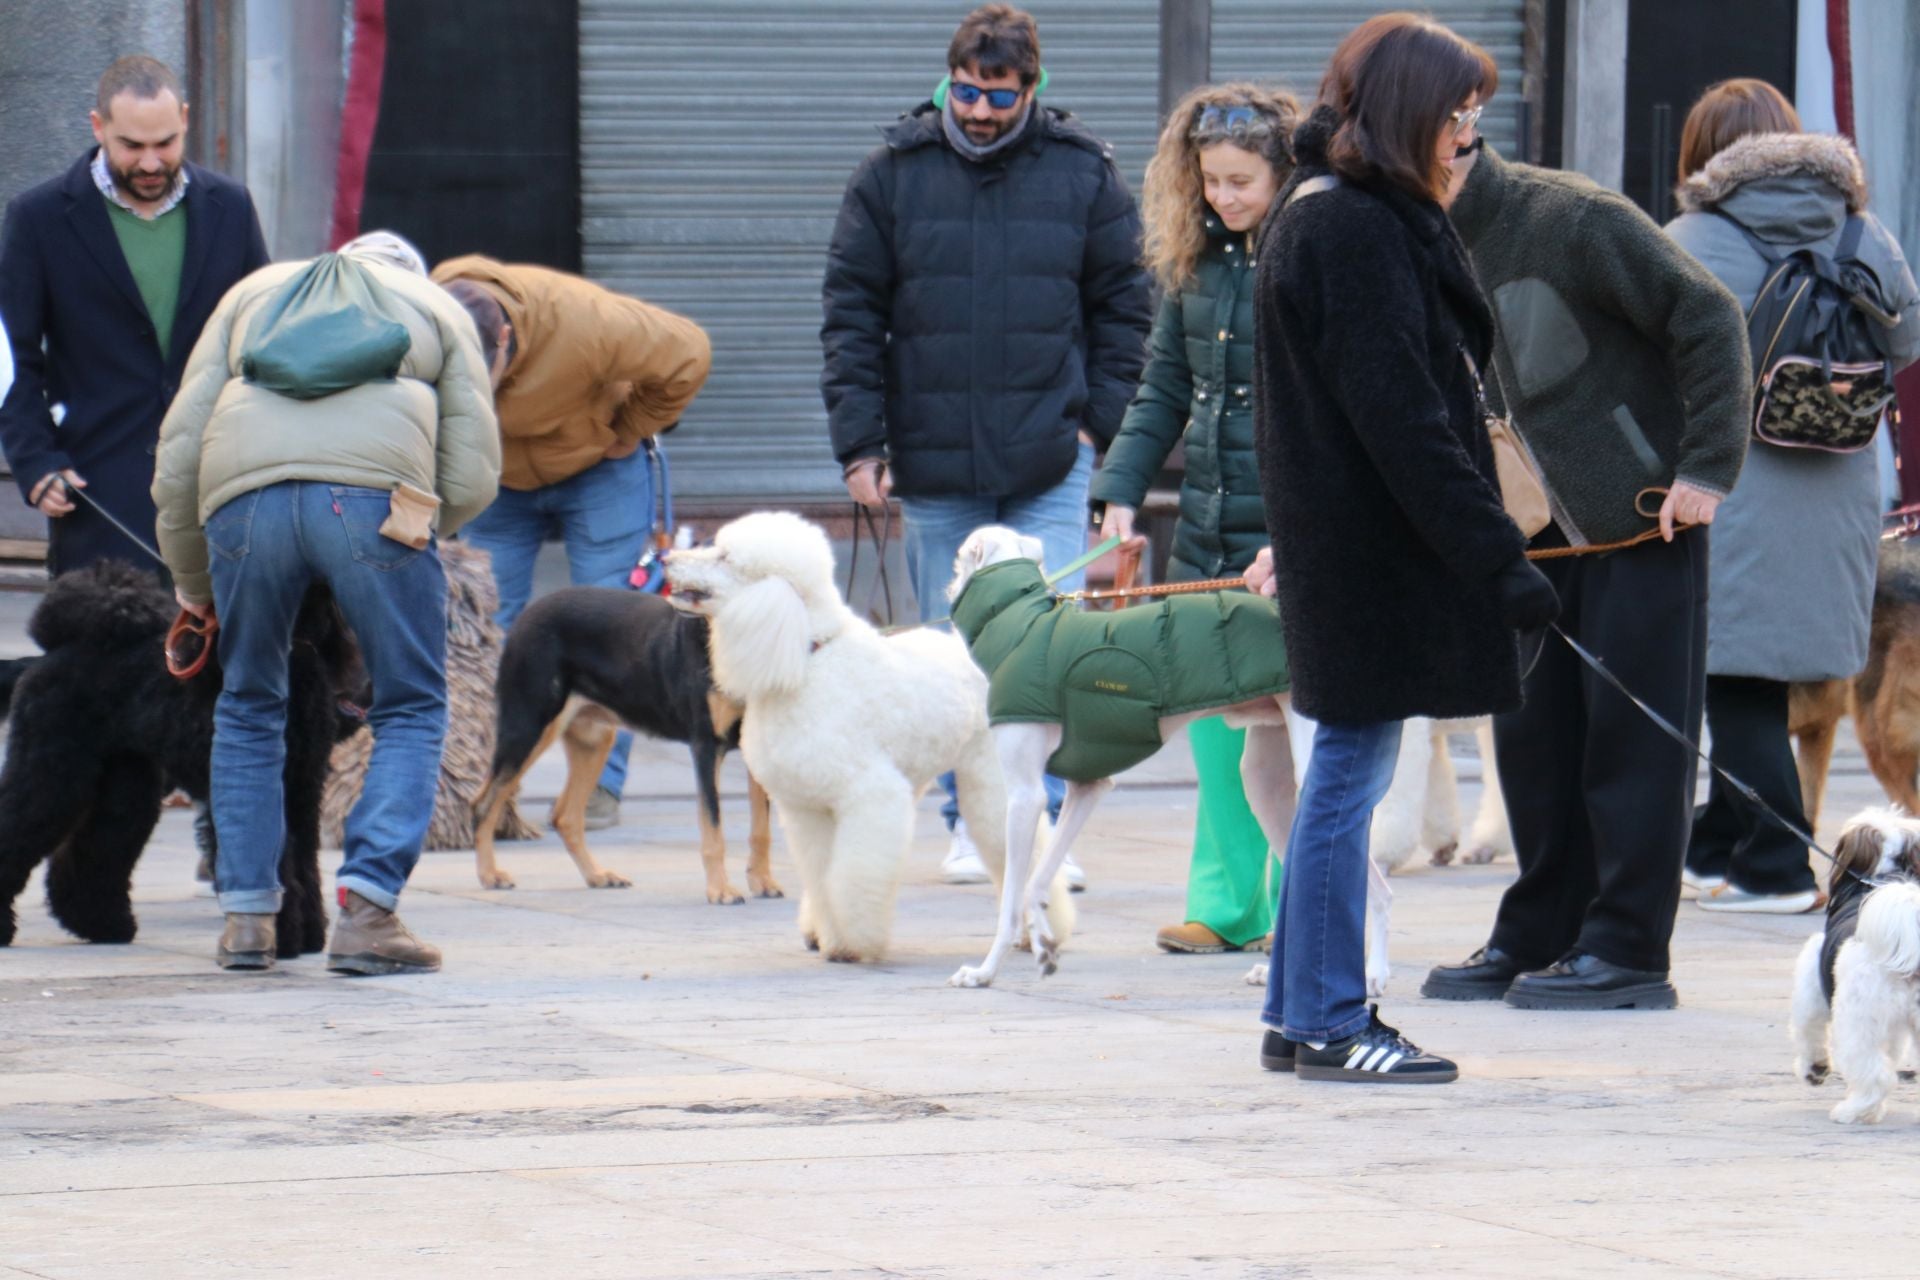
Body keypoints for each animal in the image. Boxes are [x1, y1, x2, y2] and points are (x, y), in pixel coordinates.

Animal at [0, 564, 360, 959]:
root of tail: (42, 659)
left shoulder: (302, 790)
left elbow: (305, 864)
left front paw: (308, 936)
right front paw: (281, 937)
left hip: (126, 786)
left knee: (95, 851)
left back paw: (102, 924)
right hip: (51, 772)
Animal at [468, 587, 775, 901]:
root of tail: (528, 612)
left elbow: (761, 829)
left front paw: (763, 882)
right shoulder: (706, 746)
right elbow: (713, 827)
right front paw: (721, 890)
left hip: (594, 739)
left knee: (565, 816)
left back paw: (598, 876)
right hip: (528, 727)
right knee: (484, 803)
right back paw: (490, 875)